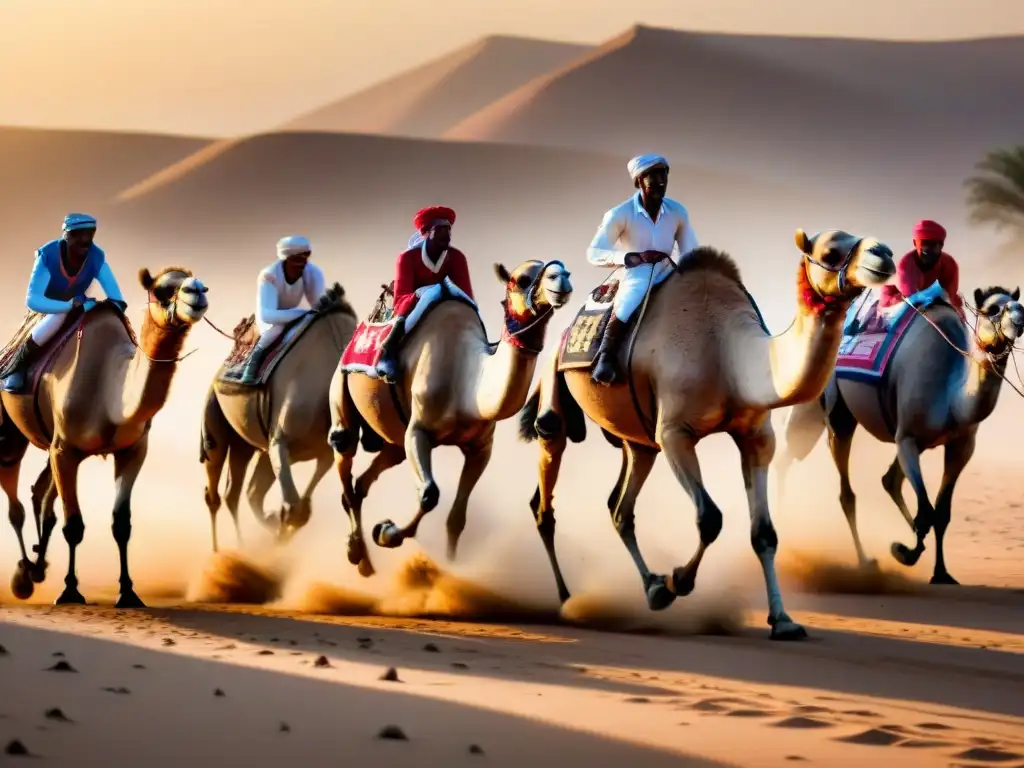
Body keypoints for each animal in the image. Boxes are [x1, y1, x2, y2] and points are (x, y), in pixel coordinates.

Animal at [0, 268, 209, 610]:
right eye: (162, 290)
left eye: (201, 284)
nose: (198, 293)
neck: (109, 389)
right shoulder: (66, 450)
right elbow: (73, 525)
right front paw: (70, 591)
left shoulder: (132, 449)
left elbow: (120, 524)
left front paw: (128, 593)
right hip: (12, 431)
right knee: (15, 499)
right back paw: (24, 577)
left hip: (51, 444)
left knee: (41, 494)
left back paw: (38, 567)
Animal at [201, 286, 358, 548]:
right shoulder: (281, 441)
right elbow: (295, 508)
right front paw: (278, 526)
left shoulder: (323, 450)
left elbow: (301, 509)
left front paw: (277, 526)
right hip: (215, 419)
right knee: (215, 490)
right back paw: (220, 551)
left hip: (247, 444)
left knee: (242, 492)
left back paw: (244, 544)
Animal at [329, 260, 577, 577]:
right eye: (522, 279)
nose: (562, 278)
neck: (466, 382)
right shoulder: (418, 432)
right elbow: (429, 494)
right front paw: (387, 532)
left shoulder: (481, 448)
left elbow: (456, 518)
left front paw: (450, 566)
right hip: (341, 389)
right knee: (344, 451)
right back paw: (356, 552)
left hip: (394, 442)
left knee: (364, 481)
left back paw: (365, 562)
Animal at [516, 230, 892, 643]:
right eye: (831, 251)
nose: (884, 254)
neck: (729, 353)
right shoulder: (675, 433)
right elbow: (710, 518)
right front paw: (678, 580)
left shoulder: (757, 437)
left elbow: (764, 533)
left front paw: (783, 620)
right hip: (556, 392)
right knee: (547, 487)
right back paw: (569, 598)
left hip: (637, 440)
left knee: (620, 507)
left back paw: (649, 586)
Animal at [774, 286, 1024, 585]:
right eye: (992, 310)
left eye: (1020, 305)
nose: (1020, 322)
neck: (951, 394)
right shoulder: (907, 439)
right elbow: (926, 513)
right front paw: (904, 552)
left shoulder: (960, 446)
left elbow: (940, 513)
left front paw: (940, 572)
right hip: (821, 411)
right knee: (814, 472)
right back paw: (856, 559)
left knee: (887, 480)